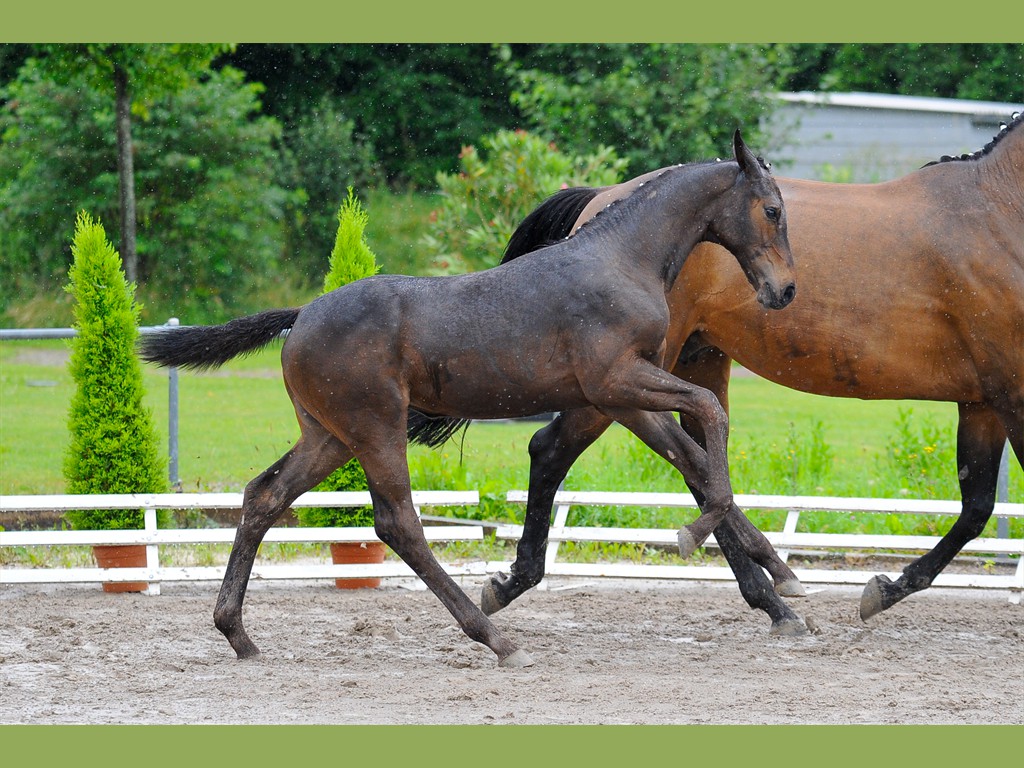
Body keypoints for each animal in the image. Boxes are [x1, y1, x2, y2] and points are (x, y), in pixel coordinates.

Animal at [140, 131, 794, 667]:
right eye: (773, 210)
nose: (784, 290)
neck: (620, 260)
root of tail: (300, 316)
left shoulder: (618, 399)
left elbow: (694, 458)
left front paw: (783, 579)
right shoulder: (617, 382)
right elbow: (707, 418)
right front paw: (700, 538)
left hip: (330, 436)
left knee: (264, 496)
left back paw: (238, 633)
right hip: (376, 426)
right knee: (398, 523)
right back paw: (495, 638)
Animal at [491, 112, 1019, 626]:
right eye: (771, 212)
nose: (784, 290)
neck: (996, 211)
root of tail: (602, 200)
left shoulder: (983, 402)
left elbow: (977, 507)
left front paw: (887, 589)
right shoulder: (1012, 397)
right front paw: (884, 591)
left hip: (693, 364)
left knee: (695, 463)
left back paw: (770, 597)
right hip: (619, 381)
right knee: (554, 450)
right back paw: (511, 584)